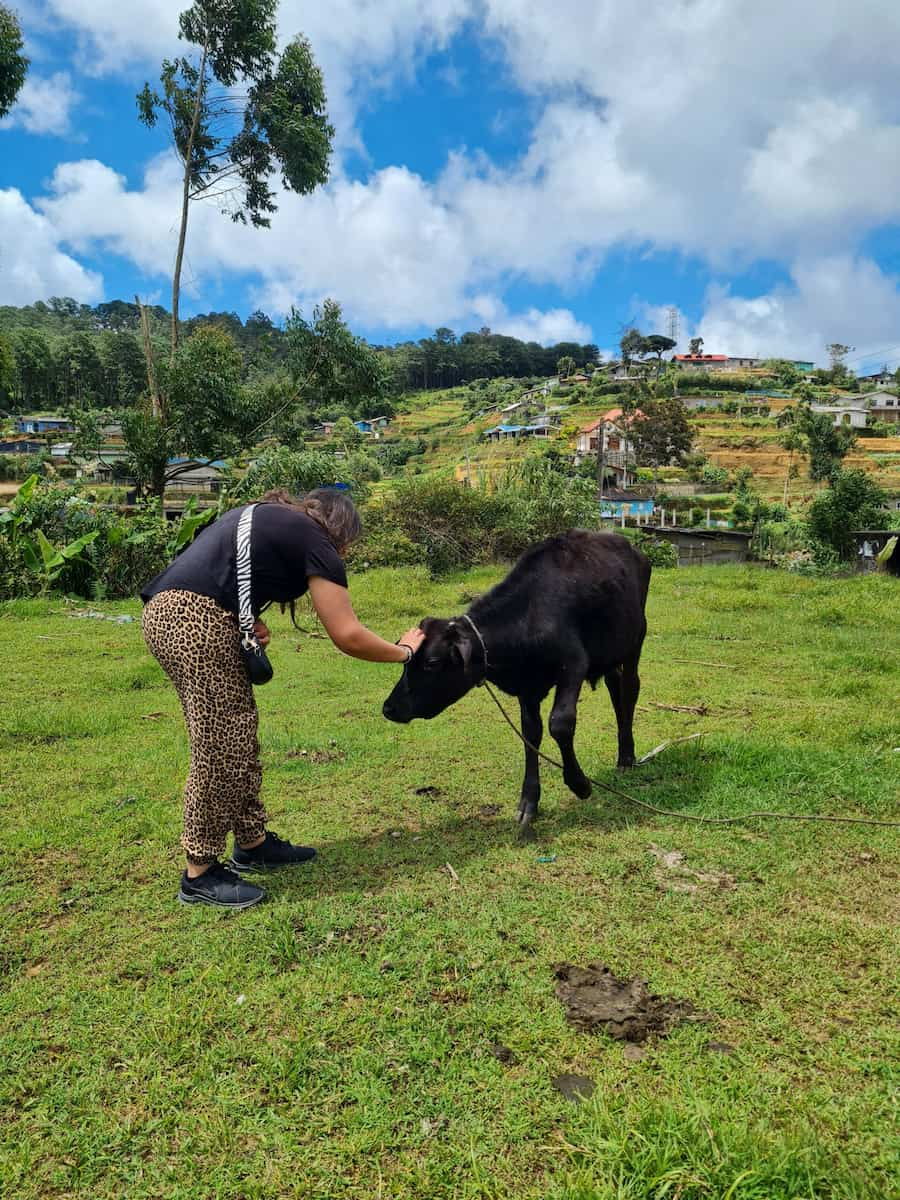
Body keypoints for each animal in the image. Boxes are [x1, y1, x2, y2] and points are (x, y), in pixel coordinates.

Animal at [384, 530, 652, 830]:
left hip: (635, 642)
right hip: (609, 654)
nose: (389, 708)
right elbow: (530, 734)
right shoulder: (527, 686)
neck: (528, 617)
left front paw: (580, 784)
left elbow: (560, 724)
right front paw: (529, 802)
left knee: (630, 689)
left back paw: (627, 756)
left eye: (431, 663)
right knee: (615, 688)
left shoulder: (573, 664)